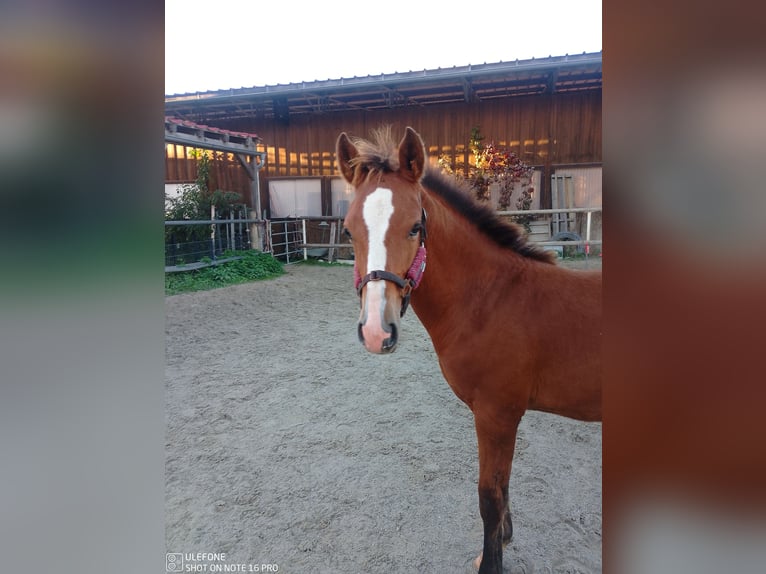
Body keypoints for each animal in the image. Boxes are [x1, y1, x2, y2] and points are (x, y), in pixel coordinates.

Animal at [340, 127, 604, 574]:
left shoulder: (497, 414)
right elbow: (504, 484)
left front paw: (491, 563)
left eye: (415, 227)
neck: (491, 300)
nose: (377, 331)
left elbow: (489, 497)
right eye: (347, 230)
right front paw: (505, 538)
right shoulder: (502, 417)